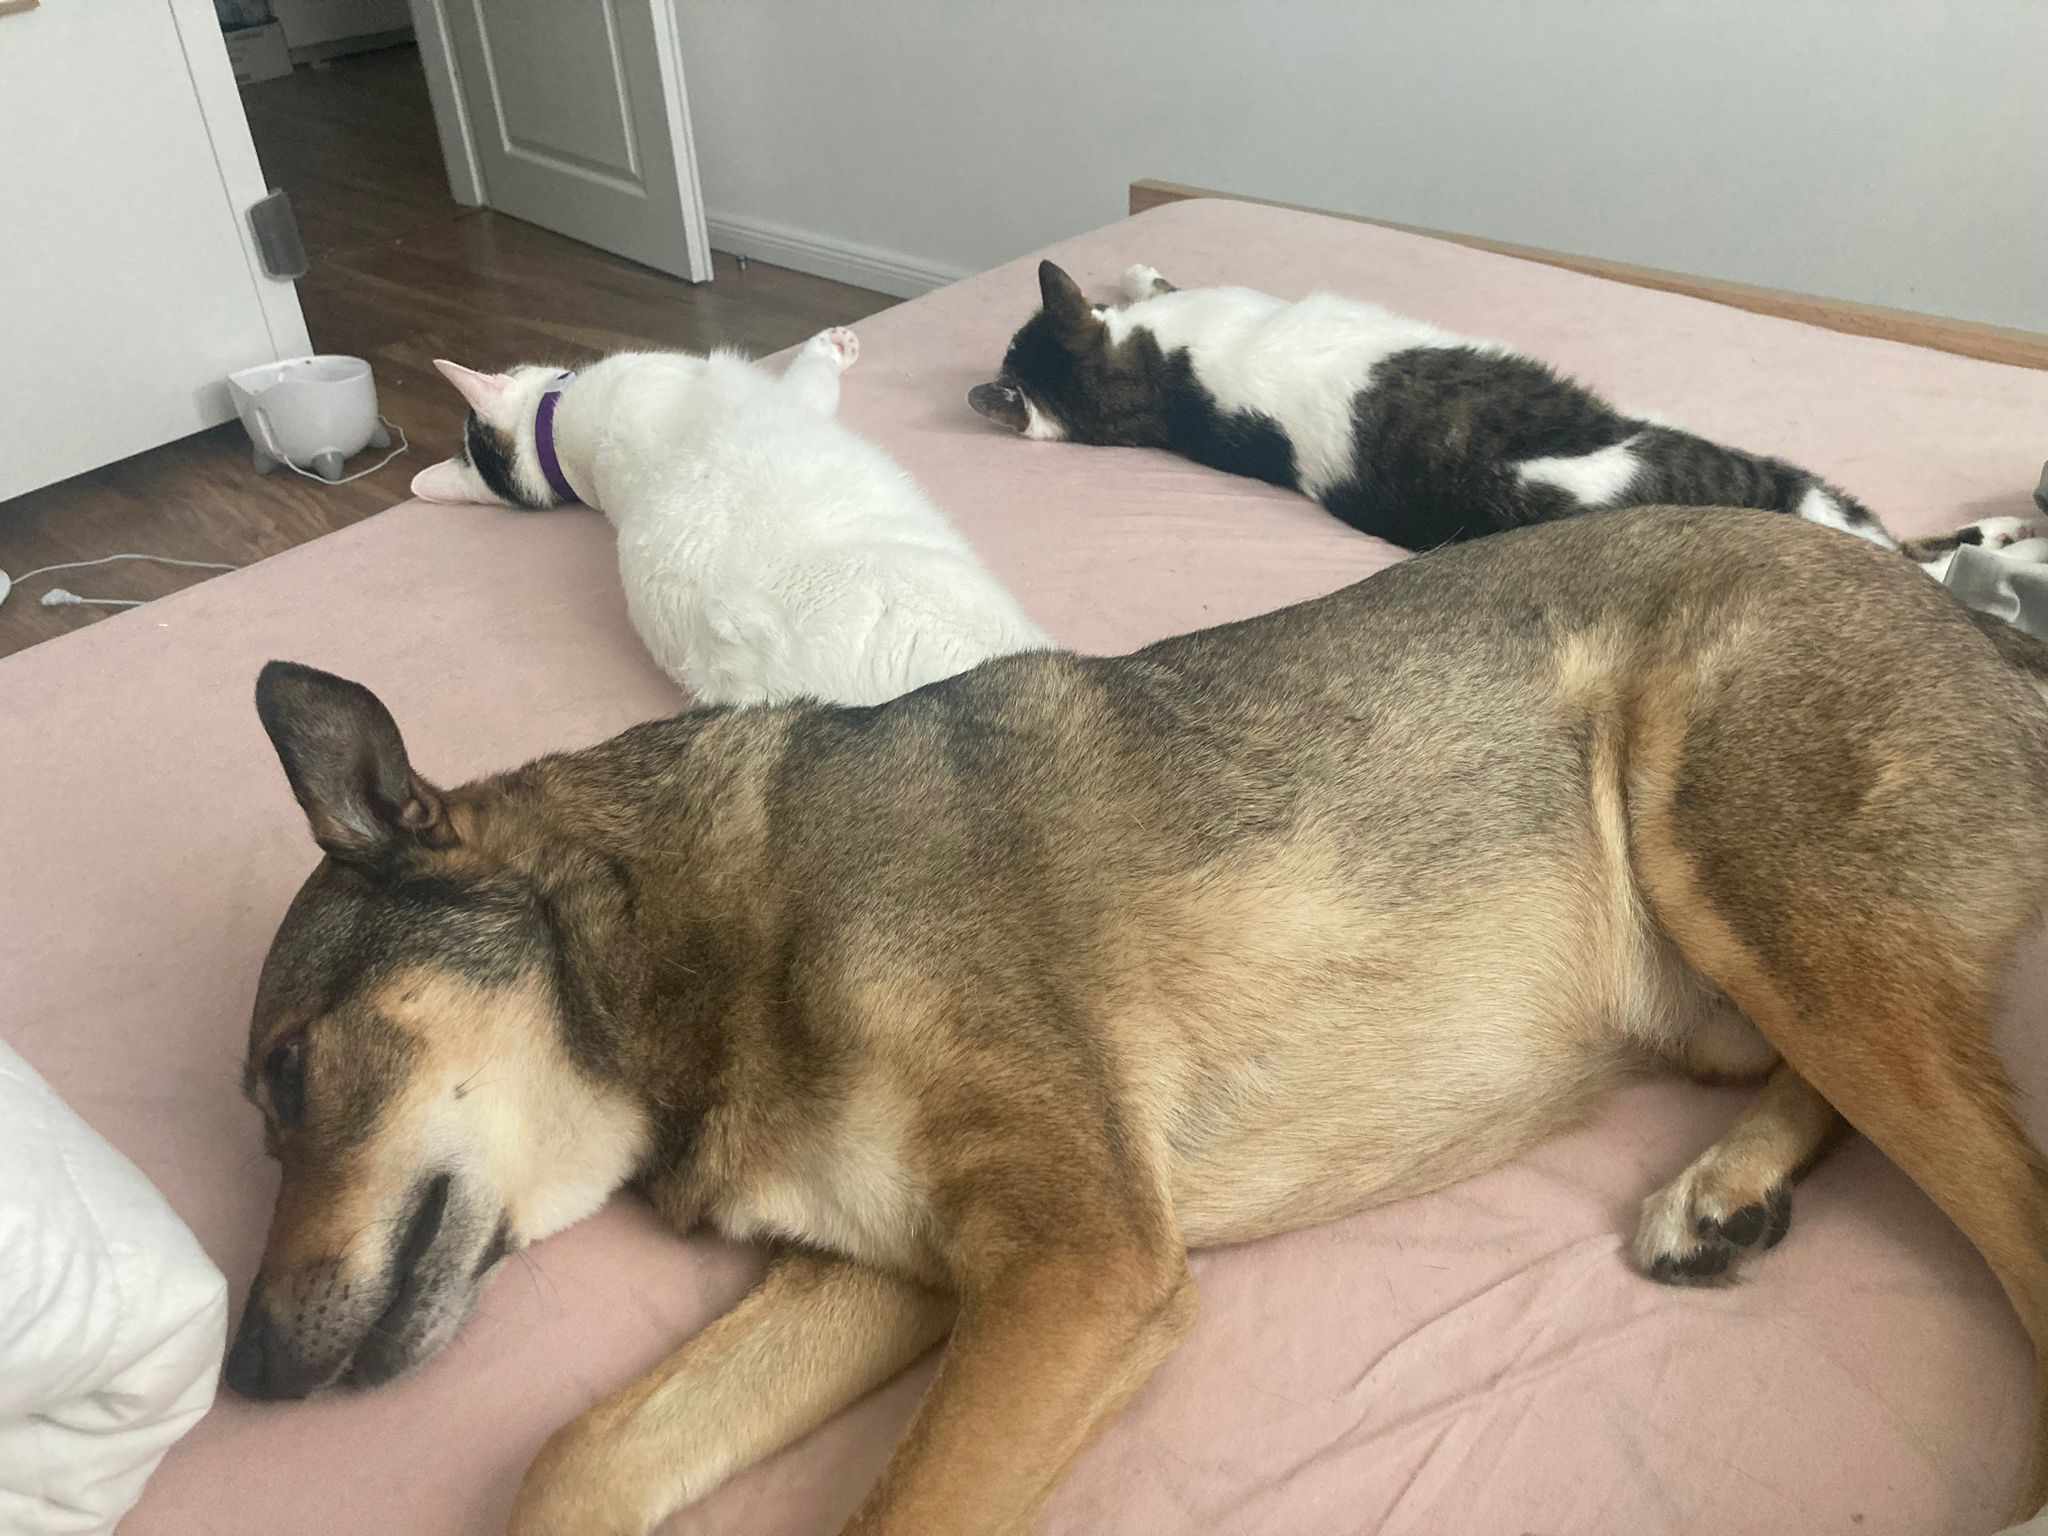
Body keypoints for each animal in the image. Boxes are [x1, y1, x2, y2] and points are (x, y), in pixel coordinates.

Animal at [228, 505, 2048, 1535]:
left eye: (290, 1074)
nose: (242, 1380)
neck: (698, 933)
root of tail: (1979, 629)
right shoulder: (887, 1276)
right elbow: (580, 1457)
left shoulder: (1078, 1265)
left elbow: (898, 1514)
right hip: (1745, 971)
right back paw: (1727, 1187)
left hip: (1742, 868)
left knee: (2007, 1195)